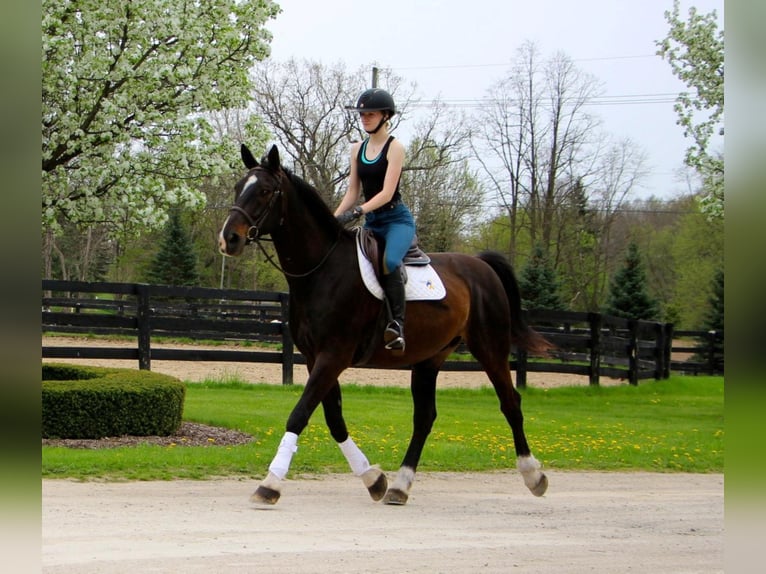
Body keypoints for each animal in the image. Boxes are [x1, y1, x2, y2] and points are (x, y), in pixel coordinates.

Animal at [219, 145, 556, 508]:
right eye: (238, 187)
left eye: (266, 191)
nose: (229, 238)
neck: (323, 270)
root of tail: (480, 265)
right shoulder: (314, 358)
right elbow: (334, 419)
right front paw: (373, 479)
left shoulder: (332, 356)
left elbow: (300, 414)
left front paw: (270, 483)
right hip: (429, 359)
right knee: (424, 418)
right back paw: (400, 486)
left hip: (490, 348)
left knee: (510, 403)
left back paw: (533, 475)